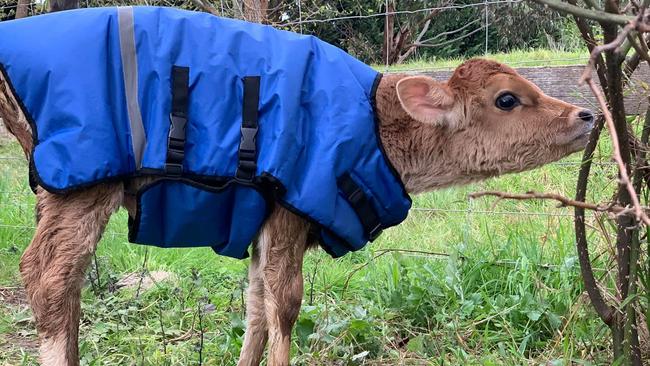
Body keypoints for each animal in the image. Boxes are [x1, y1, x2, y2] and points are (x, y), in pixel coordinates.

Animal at [0, 58, 588, 364]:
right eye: (507, 99)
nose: (585, 114)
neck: (375, 129)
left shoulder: (258, 223)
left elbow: (256, 305)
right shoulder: (288, 210)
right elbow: (285, 304)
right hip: (82, 185)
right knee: (49, 276)